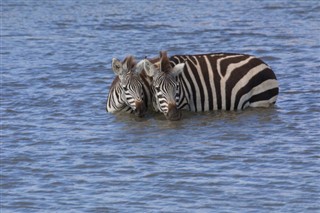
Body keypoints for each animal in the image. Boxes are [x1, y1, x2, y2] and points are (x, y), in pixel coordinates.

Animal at [144, 51, 278, 120]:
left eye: (177, 87)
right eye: (157, 88)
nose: (174, 115)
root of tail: (265, 64)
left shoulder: (185, 106)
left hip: (260, 101)